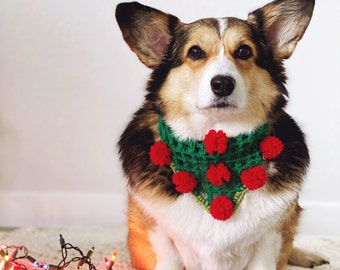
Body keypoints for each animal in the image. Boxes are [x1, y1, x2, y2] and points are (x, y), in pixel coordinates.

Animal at [116, 1, 326, 268]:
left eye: (244, 51)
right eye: (195, 52)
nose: (223, 84)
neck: (217, 146)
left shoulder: (271, 236)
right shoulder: (157, 233)